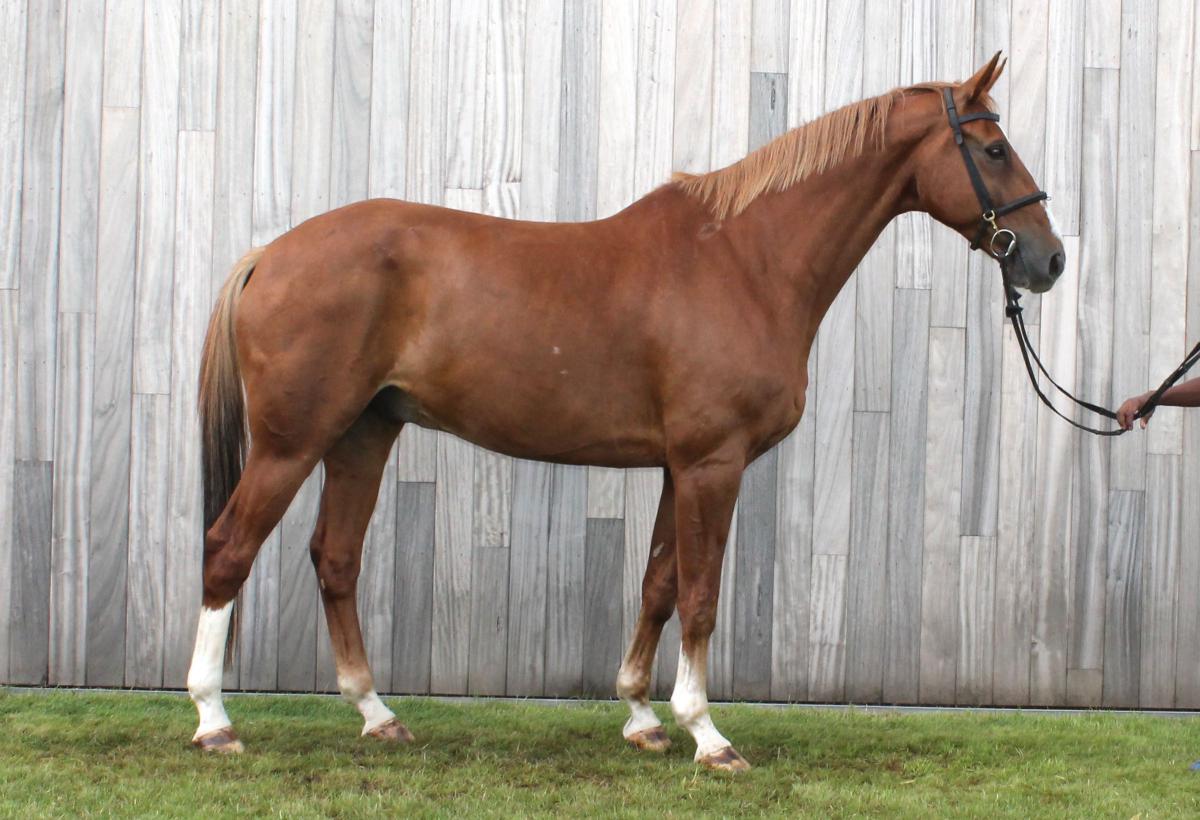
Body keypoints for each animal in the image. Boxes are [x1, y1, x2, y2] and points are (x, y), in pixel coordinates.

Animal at [185, 52, 1063, 771]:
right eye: (993, 149)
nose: (1048, 258)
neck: (745, 260)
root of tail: (270, 255)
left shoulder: (681, 466)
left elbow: (658, 584)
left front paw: (643, 717)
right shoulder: (713, 463)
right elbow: (701, 594)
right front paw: (708, 734)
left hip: (363, 435)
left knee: (335, 559)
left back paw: (377, 715)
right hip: (293, 442)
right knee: (229, 550)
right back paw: (213, 721)